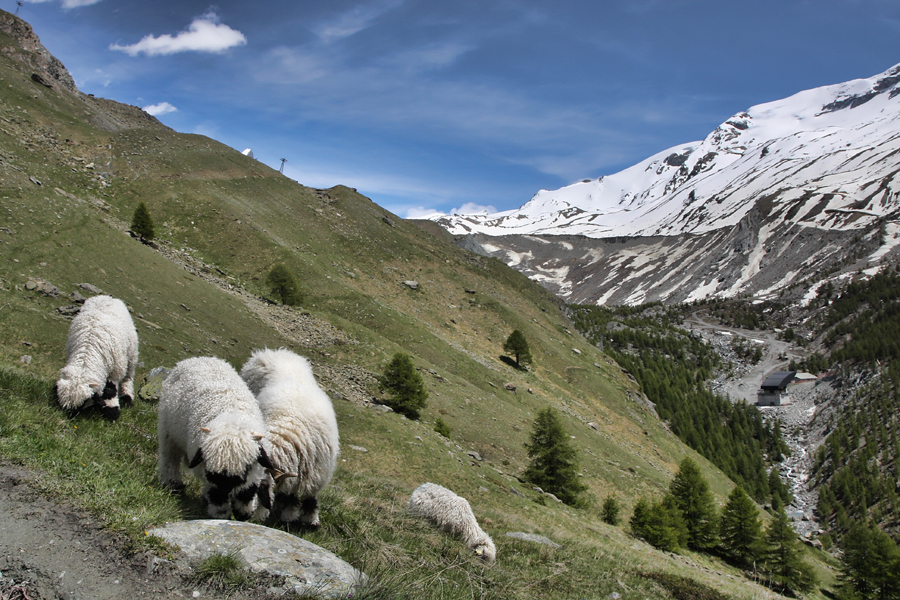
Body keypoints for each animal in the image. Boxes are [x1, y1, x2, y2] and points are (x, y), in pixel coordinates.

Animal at [54, 292, 138, 420]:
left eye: (83, 402)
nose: (71, 416)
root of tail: (108, 296)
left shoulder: (116, 369)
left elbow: (110, 389)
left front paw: (112, 410)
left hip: (132, 354)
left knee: (128, 377)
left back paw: (127, 397)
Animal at [156, 356, 274, 520]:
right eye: (214, 475)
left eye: (246, 470)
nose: (243, 516)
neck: (232, 418)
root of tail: (198, 358)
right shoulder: (210, 479)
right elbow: (213, 494)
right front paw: (220, 515)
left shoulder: (252, 476)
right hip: (168, 433)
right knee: (169, 458)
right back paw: (173, 484)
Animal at [241, 346, 340, 524]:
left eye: (257, 489)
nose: (248, 517)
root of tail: (273, 352)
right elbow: (291, 495)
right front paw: (290, 515)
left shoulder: (317, 472)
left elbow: (309, 497)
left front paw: (310, 519)